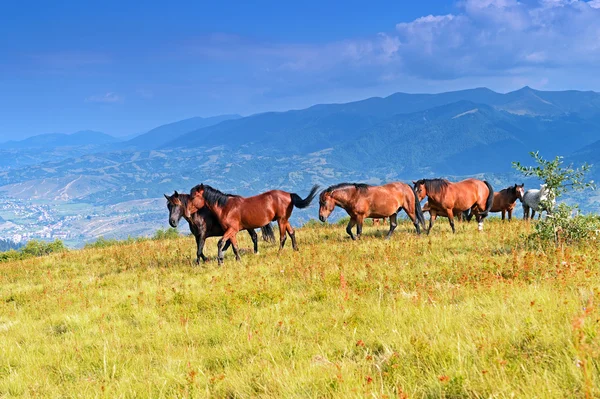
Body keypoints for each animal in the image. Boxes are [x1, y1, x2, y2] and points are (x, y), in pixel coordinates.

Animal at [186, 184, 318, 266]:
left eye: (193, 197)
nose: (187, 213)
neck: (226, 208)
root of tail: (289, 194)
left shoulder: (232, 229)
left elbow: (221, 243)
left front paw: (220, 262)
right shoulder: (231, 231)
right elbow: (234, 246)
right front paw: (237, 260)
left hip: (281, 220)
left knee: (283, 237)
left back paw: (279, 254)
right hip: (285, 220)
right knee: (291, 233)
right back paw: (296, 250)